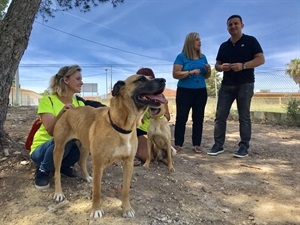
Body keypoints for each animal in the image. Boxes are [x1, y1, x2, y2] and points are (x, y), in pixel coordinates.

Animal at [53, 74, 168, 219]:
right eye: (141, 79)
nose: (163, 80)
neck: (123, 126)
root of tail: (70, 110)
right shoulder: (98, 164)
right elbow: (97, 190)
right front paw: (96, 209)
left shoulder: (129, 162)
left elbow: (126, 190)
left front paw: (127, 209)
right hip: (59, 148)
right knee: (57, 172)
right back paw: (58, 193)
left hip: (84, 146)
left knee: (81, 161)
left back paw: (87, 177)